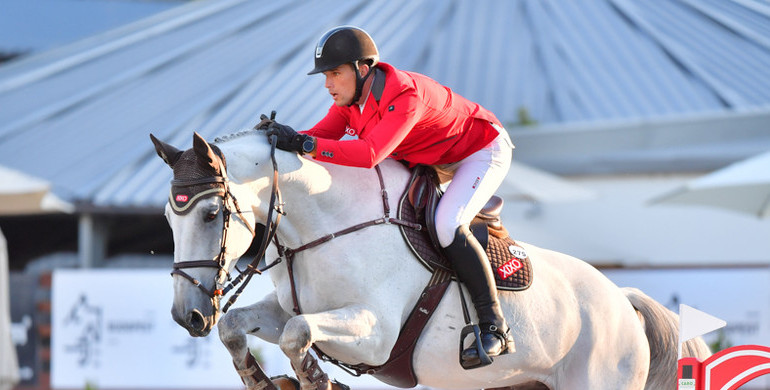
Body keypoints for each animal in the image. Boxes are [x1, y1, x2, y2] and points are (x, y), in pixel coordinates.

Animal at [150, 131, 708, 390]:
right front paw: (261, 379)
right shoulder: (286, 308)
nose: (186, 316)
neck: (326, 222)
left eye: (212, 213)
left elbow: (297, 333)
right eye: (170, 218)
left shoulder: (374, 334)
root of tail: (623, 299)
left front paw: (313, 378)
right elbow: (240, 327)